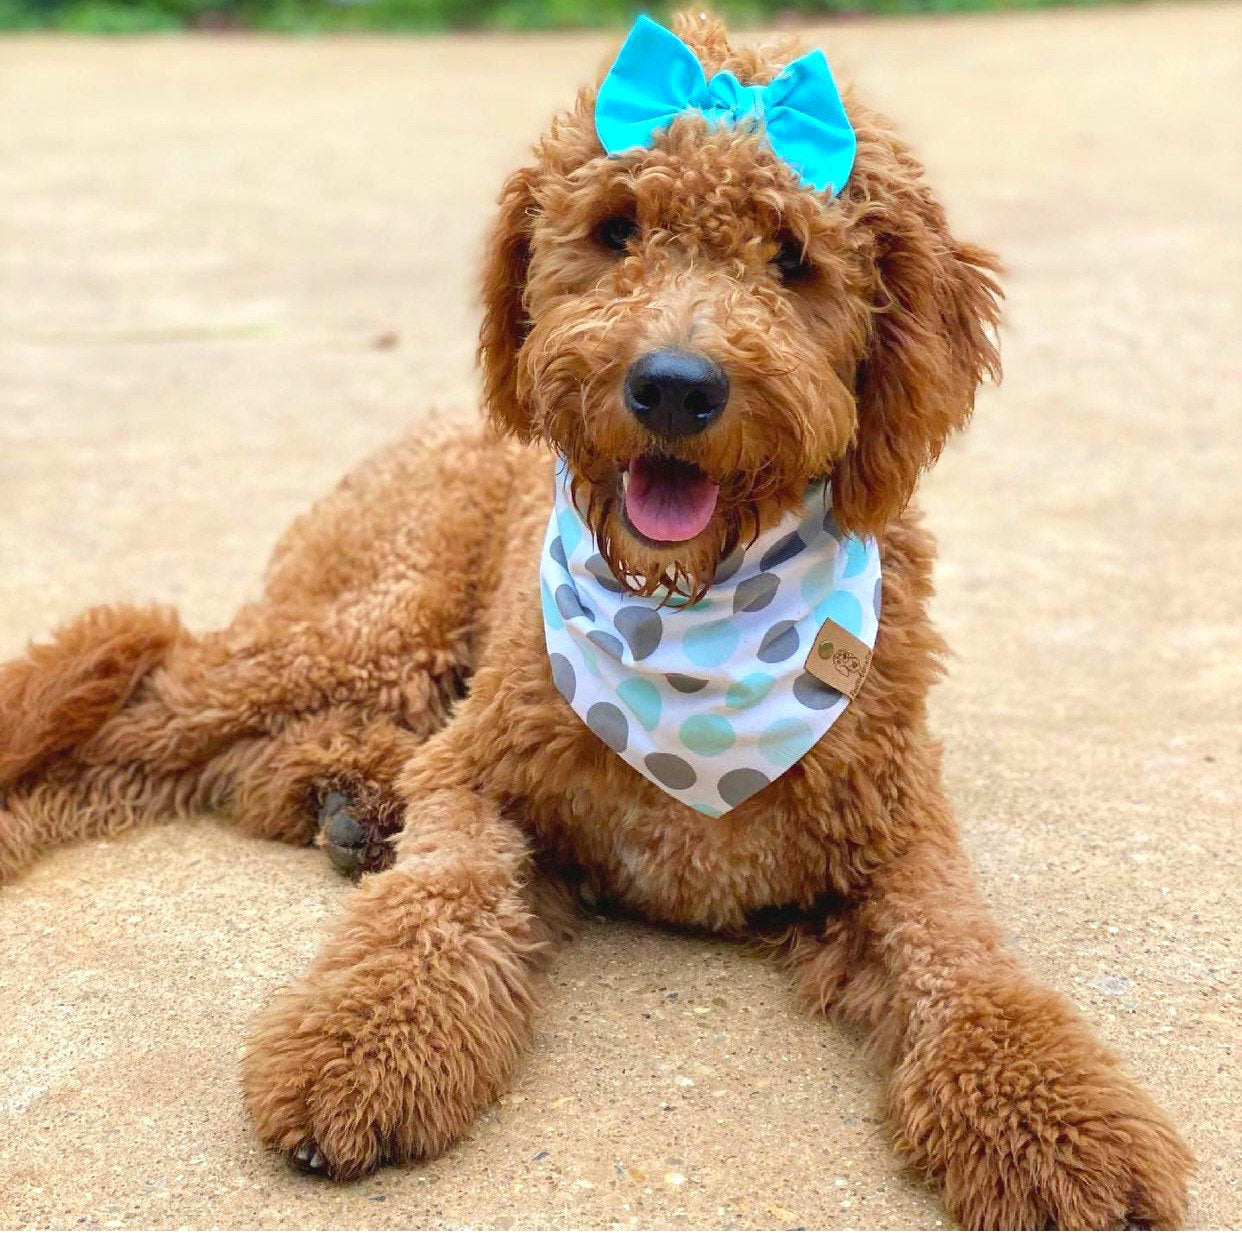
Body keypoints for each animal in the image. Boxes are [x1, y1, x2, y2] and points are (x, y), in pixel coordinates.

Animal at [0, 7, 1192, 1221]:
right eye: (618, 230)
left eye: (792, 258)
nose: (674, 386)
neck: (698, 622)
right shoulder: (479, 776)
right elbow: (437, 901)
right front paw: (363, 1042)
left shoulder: (900, 833)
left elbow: (966, 961)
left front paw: (1058, 1117)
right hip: (384, 624)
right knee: (153, 687)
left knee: (242, 756)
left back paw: (348, 796)